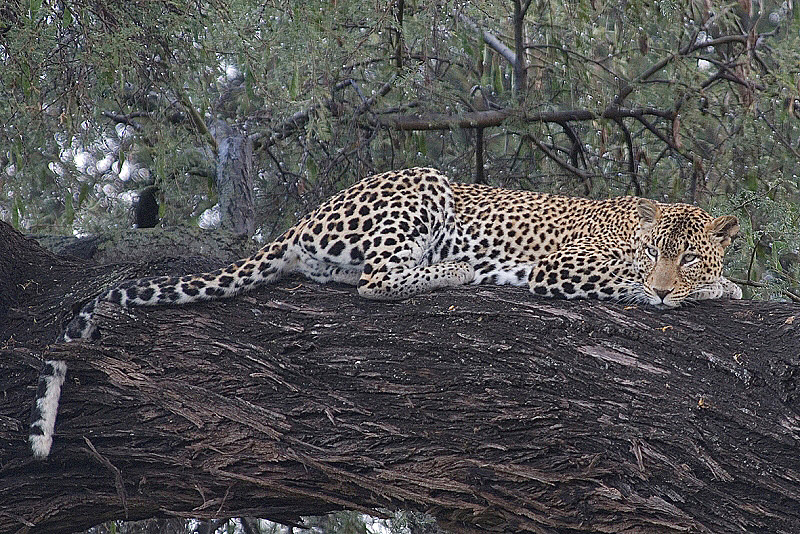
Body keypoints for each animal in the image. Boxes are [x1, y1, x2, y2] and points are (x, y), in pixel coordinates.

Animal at [32, 169, 744, 460]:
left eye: (688, 256)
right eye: (655, 253)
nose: (668, 286)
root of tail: (301, 221)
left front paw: (722, 284)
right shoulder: (563, 267)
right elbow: (627, 284)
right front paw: (707, 290)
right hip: (423, 187)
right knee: (380, 281)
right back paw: (464, 270)